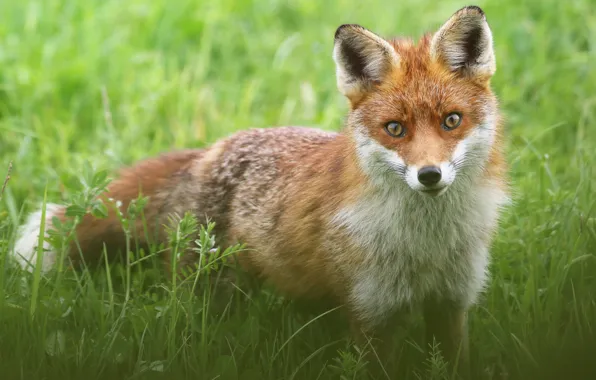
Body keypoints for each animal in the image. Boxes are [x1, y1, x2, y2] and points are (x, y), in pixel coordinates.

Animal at [11, 4, 508, 378]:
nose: (430, 175)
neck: (426, 245)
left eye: (451, 120)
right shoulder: (370, 312)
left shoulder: (452, 304)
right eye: (395, 129)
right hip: (209, 296)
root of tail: (211, 149)